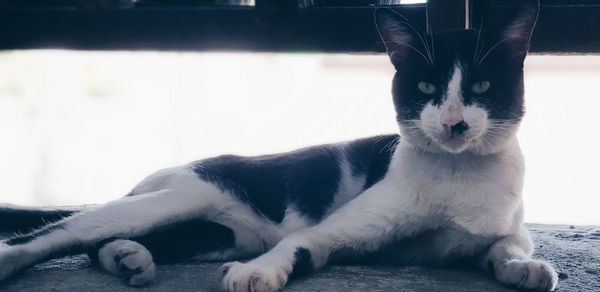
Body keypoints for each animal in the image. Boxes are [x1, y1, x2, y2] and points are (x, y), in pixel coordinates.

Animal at [0, 1, 556, 290]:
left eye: (481, 86)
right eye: (425, 88)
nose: (454, 122)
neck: (460, 178)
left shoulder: (498, 230)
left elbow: (506, 245)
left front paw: (525, 267)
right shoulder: (336, 229)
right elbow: (299, 245)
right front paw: (256, 274)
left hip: (221, 230)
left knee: (100, 244)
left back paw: (129, 259)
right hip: (181, 198)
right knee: (60, 233)